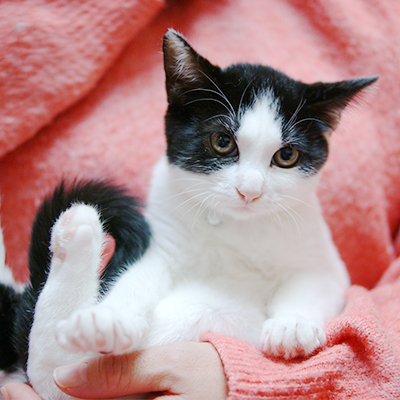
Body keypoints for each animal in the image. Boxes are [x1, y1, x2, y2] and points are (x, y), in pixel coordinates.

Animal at [0, 29, 376, 400]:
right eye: (222, 141)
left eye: (286, 156)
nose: (250, 190)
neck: (236, 229)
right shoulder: (161, 241)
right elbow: (137, 278)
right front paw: (108, 318)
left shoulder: (325, 260)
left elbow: (316, 281)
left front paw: (292, 326)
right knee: (49, 368)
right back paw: (75, 241)